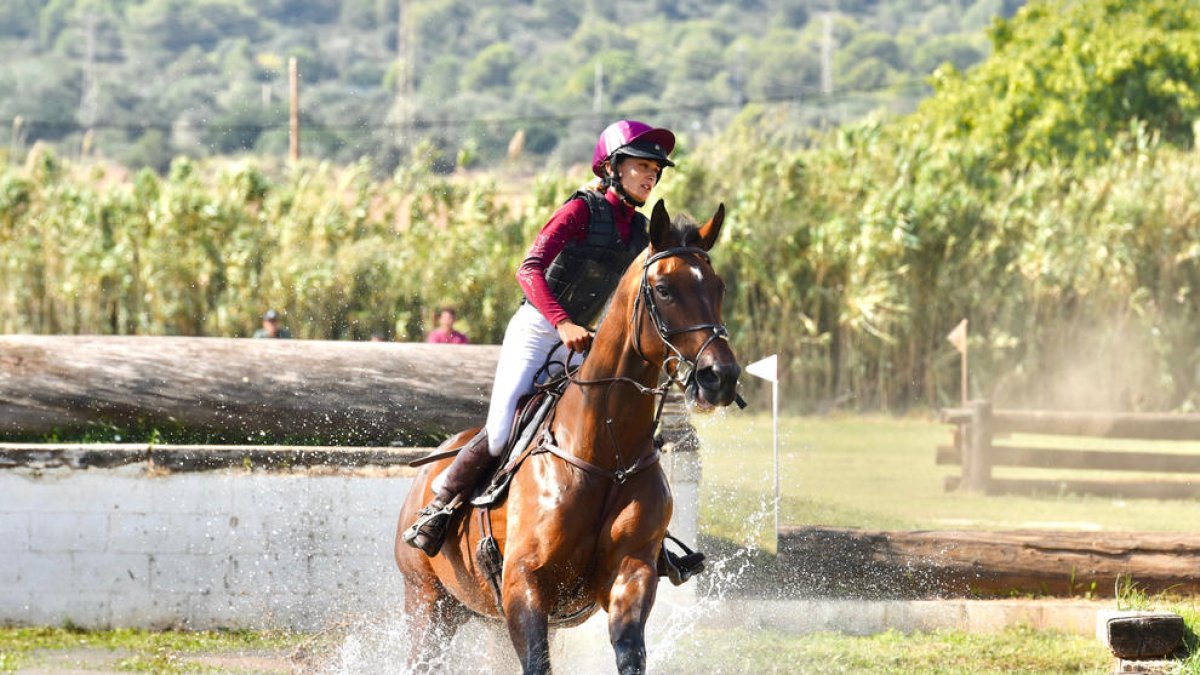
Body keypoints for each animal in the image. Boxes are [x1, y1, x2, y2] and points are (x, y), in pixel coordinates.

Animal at [396, 199, 739, 672]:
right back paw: (430, 519)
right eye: (664, 289)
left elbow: (629, 653)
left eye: (719, 287)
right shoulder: (524, 582)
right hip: (427, 602)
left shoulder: (632, 572)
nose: (720, 377)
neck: (606, 455)